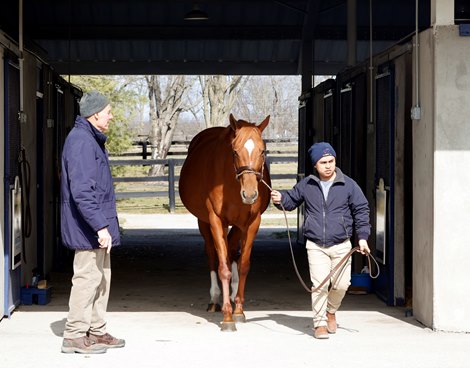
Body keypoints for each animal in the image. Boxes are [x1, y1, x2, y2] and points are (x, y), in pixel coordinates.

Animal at [178, 114, 270, 330]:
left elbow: (243, 265)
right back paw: (214, 300)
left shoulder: (252, 223)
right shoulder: (216, 220)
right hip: (204, 222)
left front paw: (238, 310)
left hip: (236, 226)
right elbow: (223, 268)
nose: (250, 194)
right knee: (213, 256)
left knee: (231, 251)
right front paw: (228, 316)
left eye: (263, 151)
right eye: (235, 151)